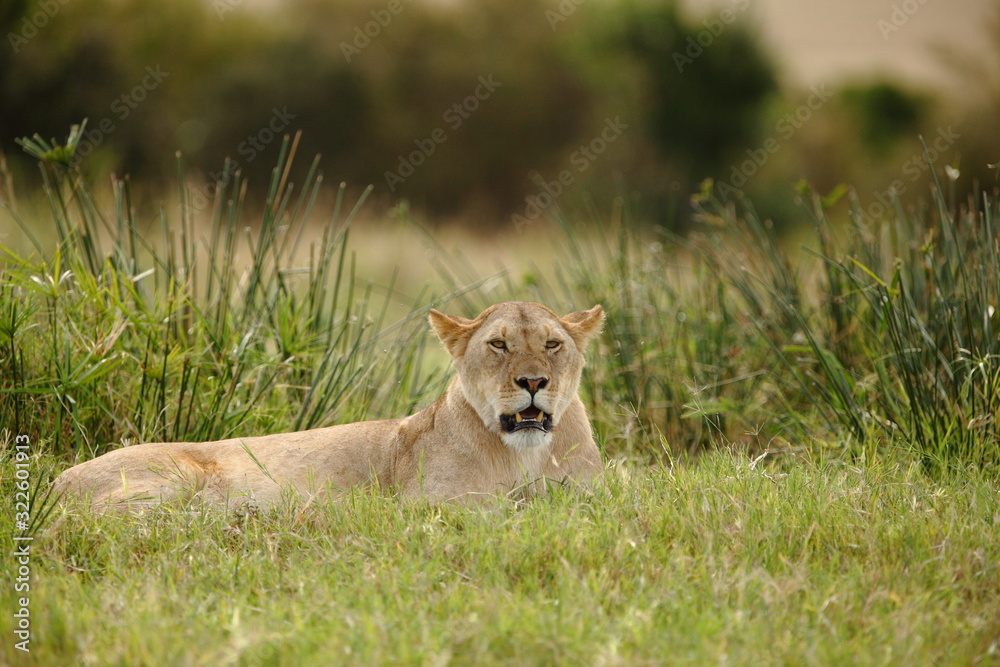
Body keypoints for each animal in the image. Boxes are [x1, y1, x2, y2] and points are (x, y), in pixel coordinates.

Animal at [53, 301, 605, 512]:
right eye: (498, 344)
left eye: (552, 344)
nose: (532, 381)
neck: (524, 454)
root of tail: (55, 481)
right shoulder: (429, 506)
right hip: (173, 478)